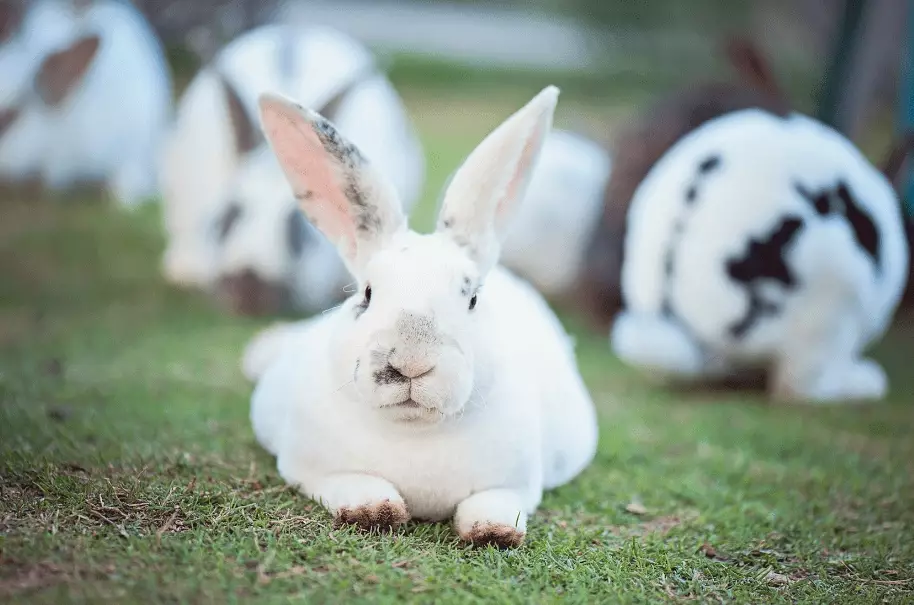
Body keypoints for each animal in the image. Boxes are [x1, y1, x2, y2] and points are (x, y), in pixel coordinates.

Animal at [243, 85, 598, 548]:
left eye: (473, 299)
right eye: (367, 294)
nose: (411, 362)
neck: (414, 430)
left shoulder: (517, 484)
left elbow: (494, 502)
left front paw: (495, 532)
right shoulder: (308, 468)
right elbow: (351, 484)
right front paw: (373, 511)